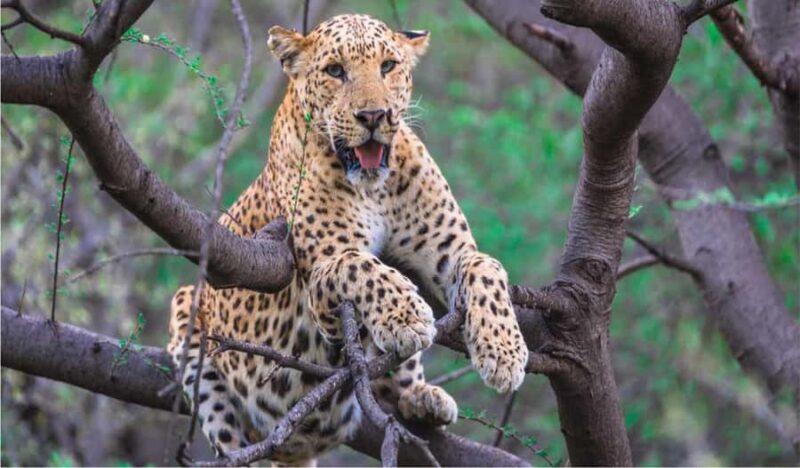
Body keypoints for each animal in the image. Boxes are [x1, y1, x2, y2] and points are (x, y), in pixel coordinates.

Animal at [167, 13, 528, 466]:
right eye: (336, 71)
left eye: (388, 66)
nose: (373, 115)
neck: (375, 188)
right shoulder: (322, 286)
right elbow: (361, 265)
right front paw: (407, 315)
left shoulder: (452, 255)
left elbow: (488, 267)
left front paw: (504, 352)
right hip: (189, 309)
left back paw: (421, 398)